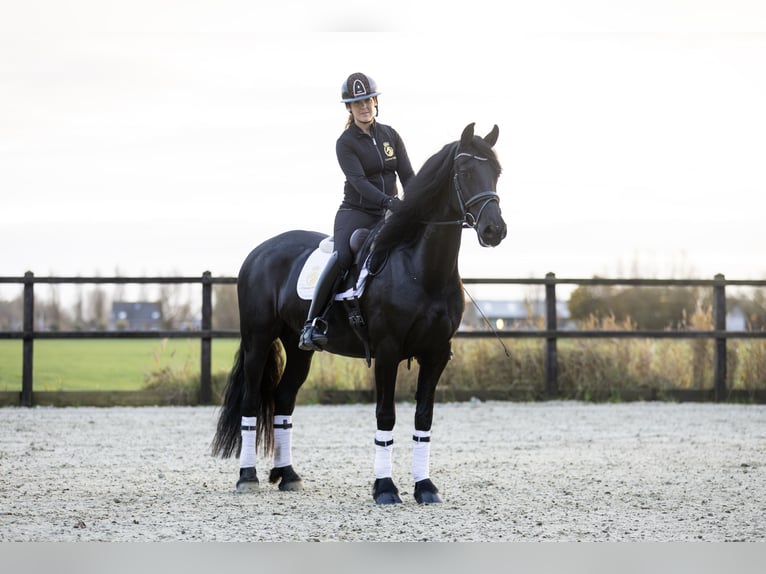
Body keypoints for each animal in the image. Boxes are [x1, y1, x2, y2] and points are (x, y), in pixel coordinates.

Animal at [213, 122, 508, 504]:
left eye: (496, 173)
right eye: (466, 172)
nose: (494, 230)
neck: (421, 268)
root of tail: (258, 252)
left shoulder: (436, 353)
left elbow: (423, 418)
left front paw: (425, 487)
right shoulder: (387, 352)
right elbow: (385, 416)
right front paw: (385, 488)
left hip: (298, 347)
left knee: (283, 399)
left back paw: (288, 474)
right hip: (258, 340)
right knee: (251, 401)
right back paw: (247, 476)